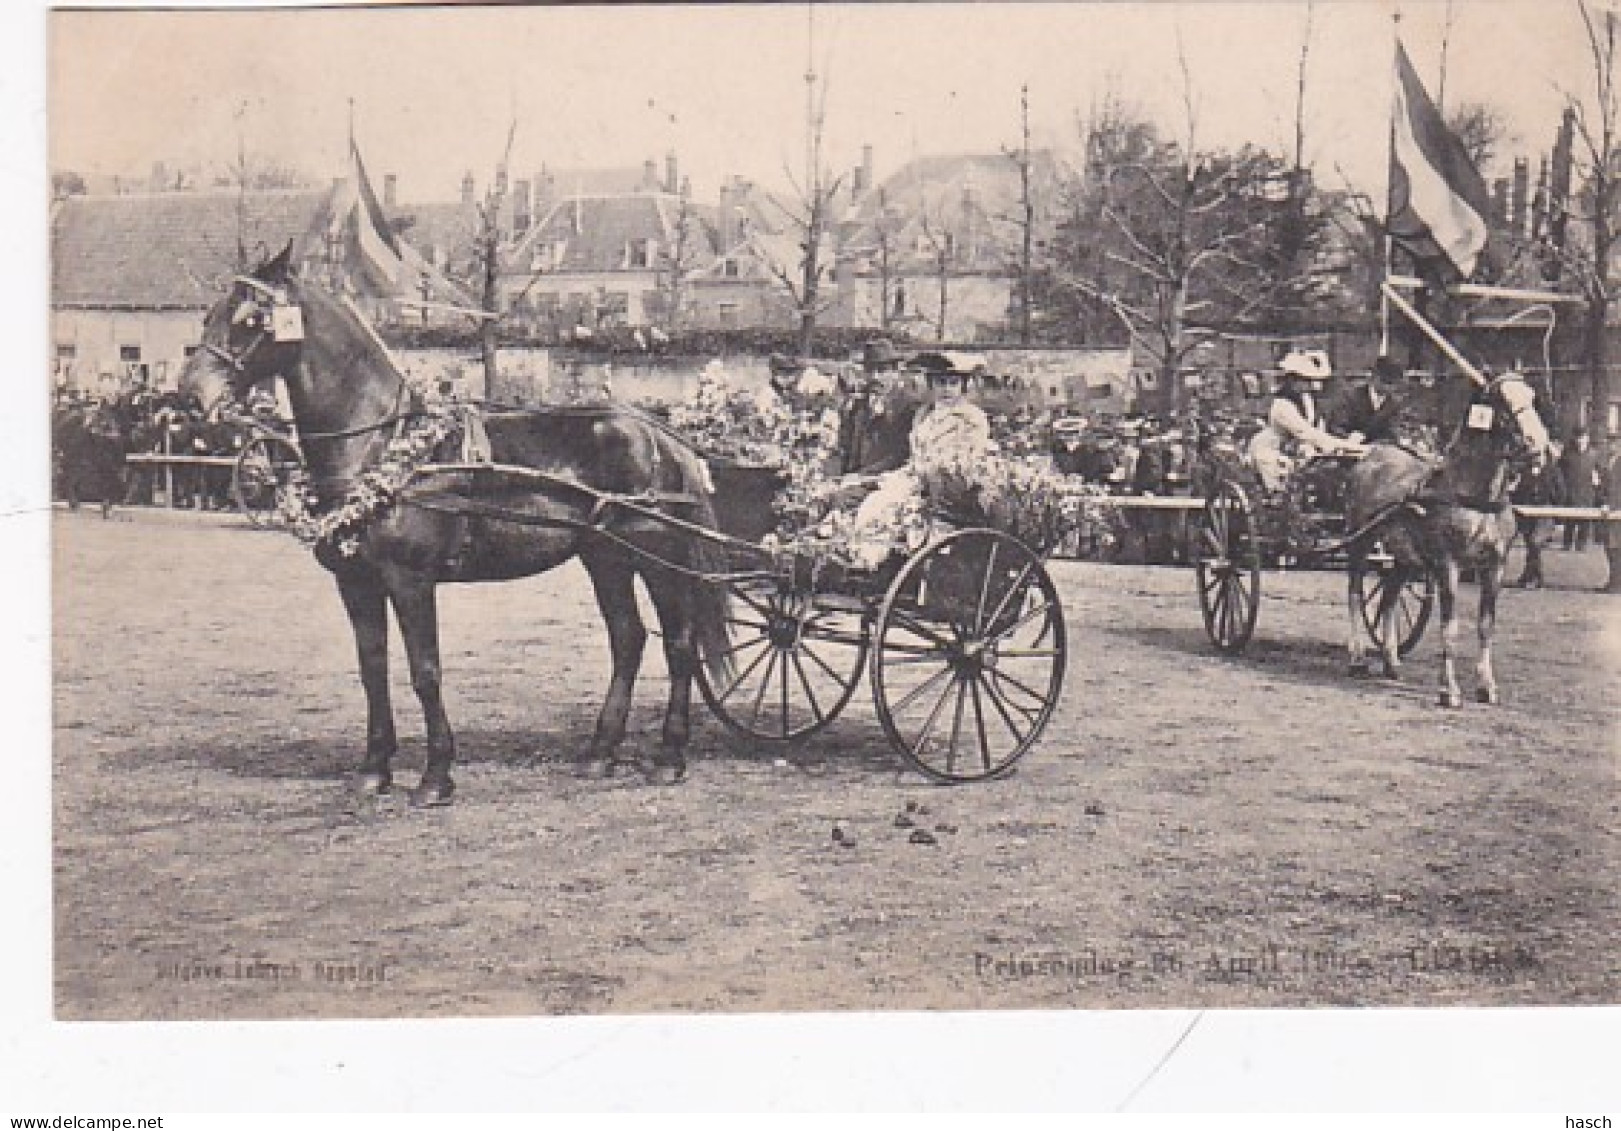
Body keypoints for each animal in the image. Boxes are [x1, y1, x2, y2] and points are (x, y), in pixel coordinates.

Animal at [180, 246, 732, 797]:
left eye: (251, 319)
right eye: (208, 315)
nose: (190, 396)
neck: (382, 447)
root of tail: (660, 433)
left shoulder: (411, 580)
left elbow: (425, 671)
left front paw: (435, 776)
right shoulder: (356, 582)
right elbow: (372, 668)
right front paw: (374, 768)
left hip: (657, 558)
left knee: (679, 646)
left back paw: (669, 757)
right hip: (606, 558)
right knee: (628, 639)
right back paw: (600, 754)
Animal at [1342, 369, 1556, 706]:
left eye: (1532, 397)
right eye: (1503, 400)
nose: (1539, 445)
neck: (1475, 496)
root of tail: (1372, 454)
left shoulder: (1495, 565)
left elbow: (1486, 625)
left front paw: (1487, 686)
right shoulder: (1447, 565)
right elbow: (1449, 628)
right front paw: (1449, 690)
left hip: (1402, 558)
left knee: (1388, 599)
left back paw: (1391, 662)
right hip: (1359, 543)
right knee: (1353, 595)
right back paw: (1358, 658)